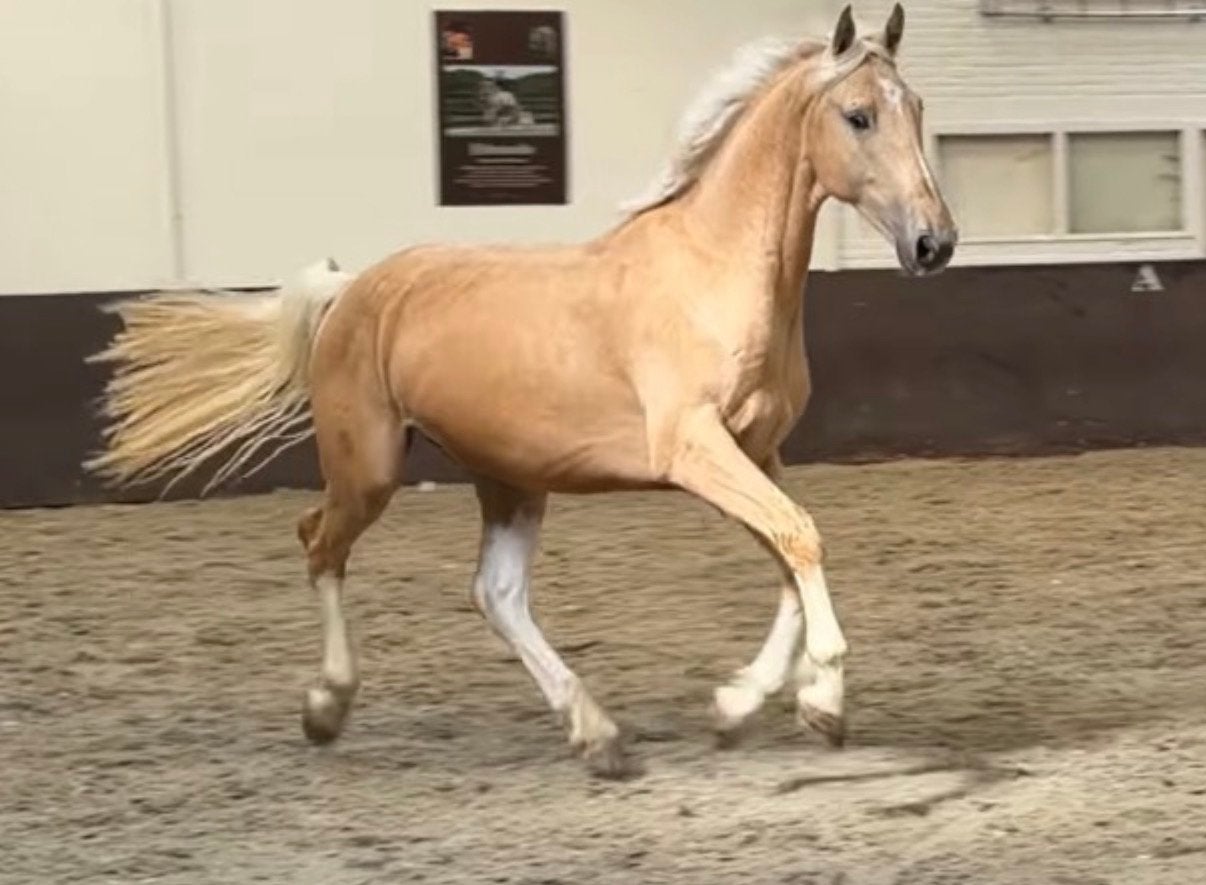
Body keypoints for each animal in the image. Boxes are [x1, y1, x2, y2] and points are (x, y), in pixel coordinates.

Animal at [86, 4, 956, 779]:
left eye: (915, 107)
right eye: (857, 115)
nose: (934, 242)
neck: (715, 271)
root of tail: (352, 287)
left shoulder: (755, 450)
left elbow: (790, 549)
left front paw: (742, 704)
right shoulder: (695, 449)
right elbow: (800, 537)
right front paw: (824, 700)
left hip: (508, 473)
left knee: (495, 593)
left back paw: (598, 734)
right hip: (369, 466)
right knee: (319, 543)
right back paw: (327, 705)